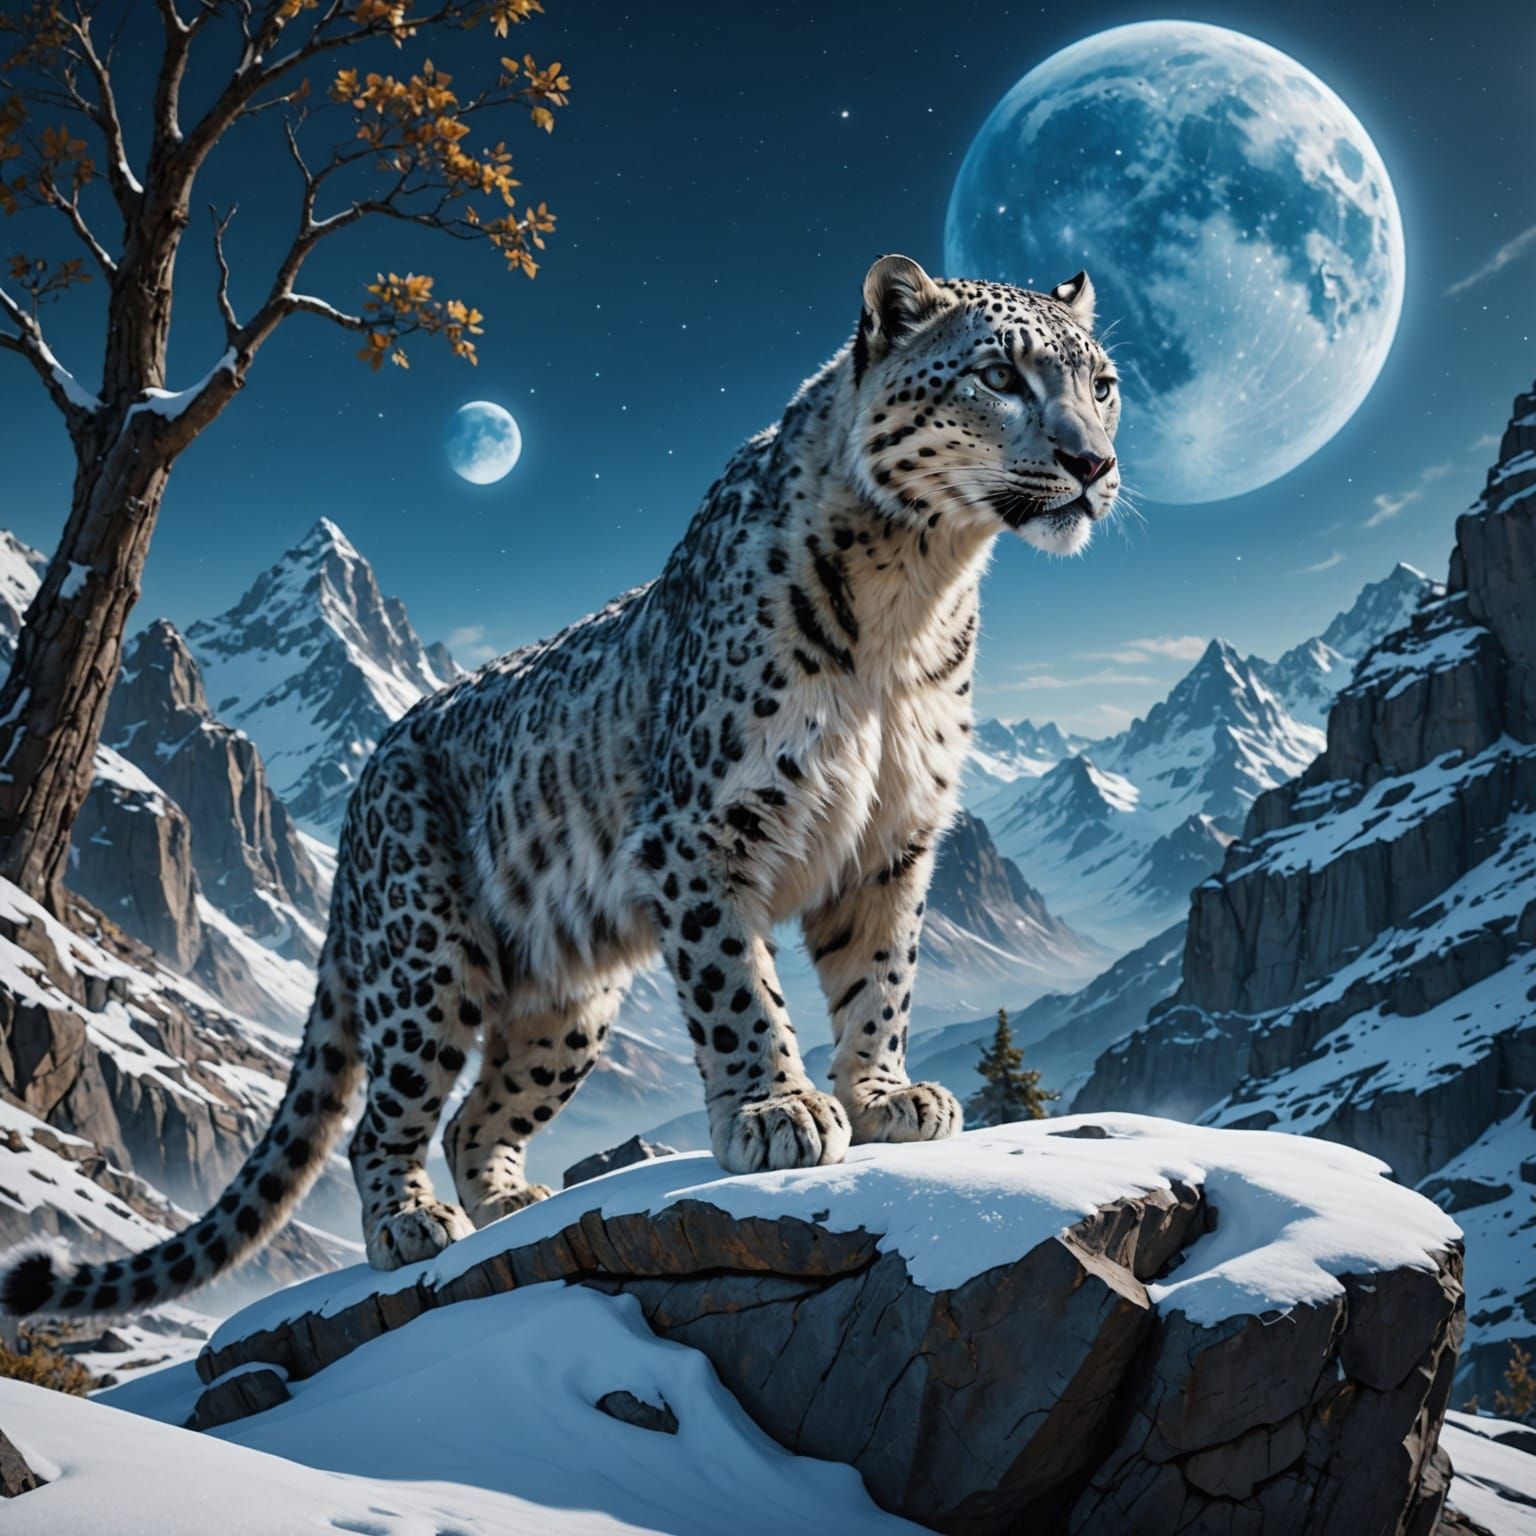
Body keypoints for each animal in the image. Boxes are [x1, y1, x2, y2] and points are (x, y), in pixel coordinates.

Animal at [2, 255, 1121, 1315]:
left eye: (1102, 384)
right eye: (1000, 375)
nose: (1094, 463)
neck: (917, 594)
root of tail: (361, 802)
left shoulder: (894, 838)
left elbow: (881, 976)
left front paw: (888, 1097)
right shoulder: (702, 831)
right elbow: (740, 986)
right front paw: (777, 1110)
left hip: (565, 1009)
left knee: (476, 1116)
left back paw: (510, 1200)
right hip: (425, 960)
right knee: (384, 1120)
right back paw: (412, 1224)